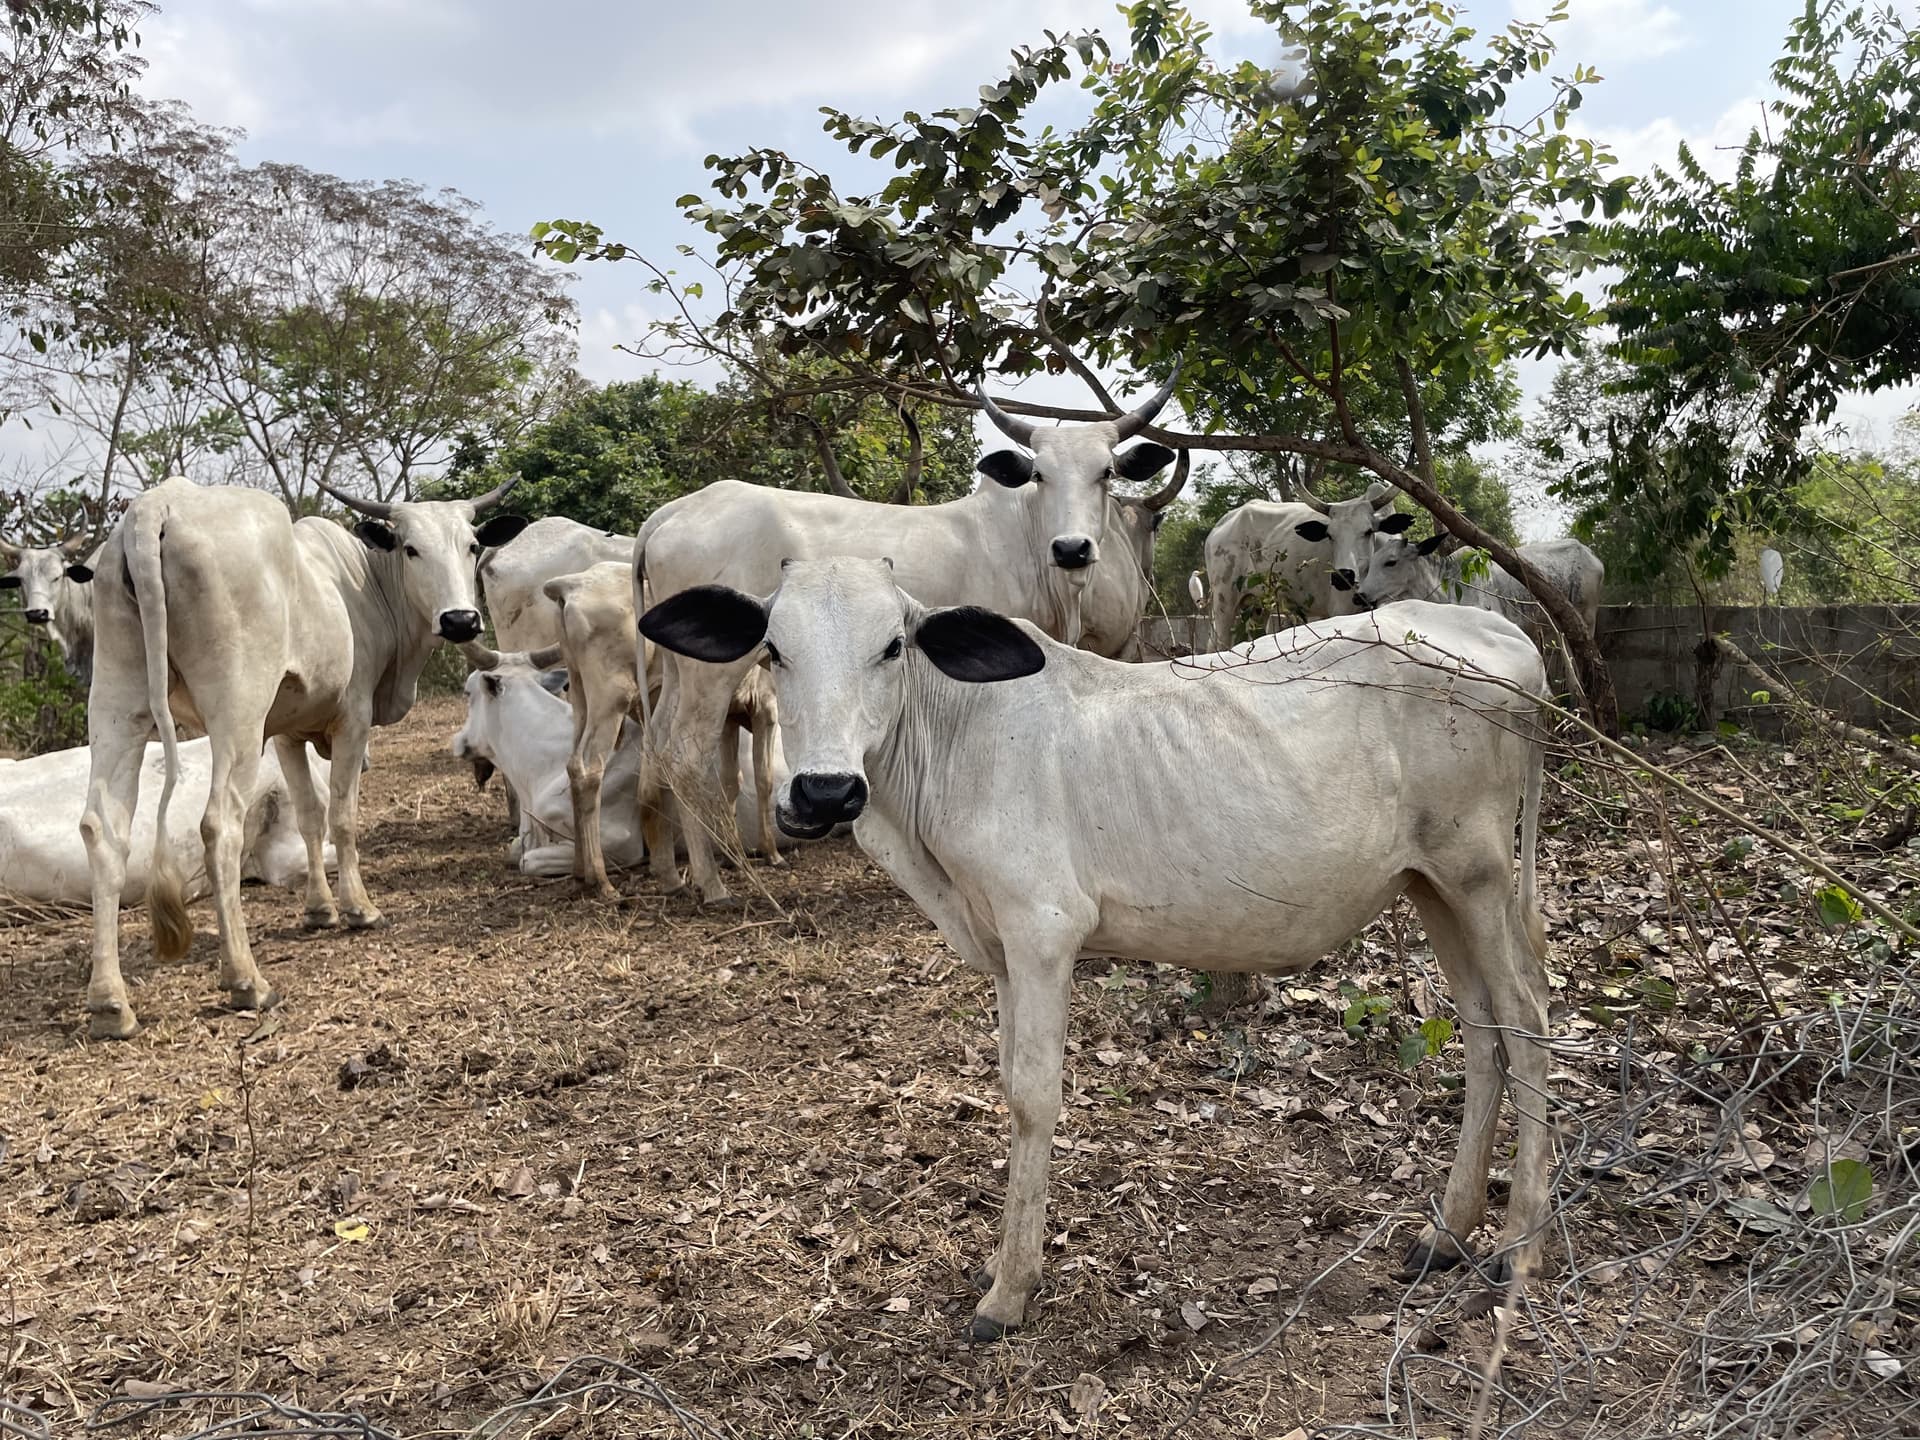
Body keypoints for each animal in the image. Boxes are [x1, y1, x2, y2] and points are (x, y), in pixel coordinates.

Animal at [77, 473, 527, 1038]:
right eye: (411, 548)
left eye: (471, 545)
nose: (461, 620)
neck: (364, 586)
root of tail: (155, 507)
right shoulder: (352, 719)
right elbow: (343, 816)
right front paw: (358, 909)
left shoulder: (287, 732)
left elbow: (311, 816)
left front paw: (319, 910)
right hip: (237, 710)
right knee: (219, 825)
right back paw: (246, 980)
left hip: (118, 703)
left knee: (102, 829)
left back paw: (110, 1003)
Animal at [449, 645, 786, 877]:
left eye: (467, 692)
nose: (457, 742)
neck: (544, 766)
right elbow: (514, 850)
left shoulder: (621, 843)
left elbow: (527, 860)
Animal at [631, 376, 1181, 905]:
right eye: (1040, 474)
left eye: (1105, 472)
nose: (1071, 549)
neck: (1024, 539)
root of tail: (672, 512)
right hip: (713, 672)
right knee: (685, 754)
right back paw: (716, 883)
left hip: (679, 664)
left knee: (656, 744)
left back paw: (672, 875)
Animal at [640, 557, 1554, 1341]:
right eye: (772, 649)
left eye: (893, 646)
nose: (825, 790)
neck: (947, 745)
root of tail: (1501, 634)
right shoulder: (1000, 947)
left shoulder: (1042, 929)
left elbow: (1031, 1096)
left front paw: (1009, 1291)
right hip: (1429, 883)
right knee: (1481, 1031)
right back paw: (1446, 1233)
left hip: (1478, 871)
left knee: (1527, 1020)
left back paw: (1514, 1248)